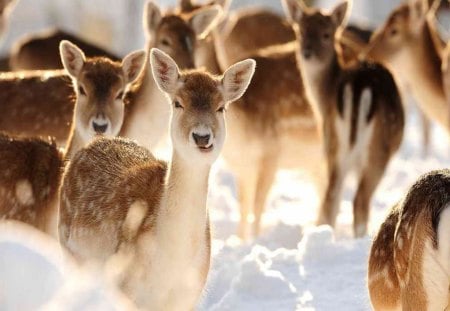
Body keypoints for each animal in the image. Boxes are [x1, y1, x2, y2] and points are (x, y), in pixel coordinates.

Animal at [58, 47, 255, 310]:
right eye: (178, 103)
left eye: (221, 107)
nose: (202, 136)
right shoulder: (127, 288)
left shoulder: (189, 295)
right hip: (67, 248)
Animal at [282, 0, 404, 238]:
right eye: (300, 31)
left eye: (326, 34)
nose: (307, 52)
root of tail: (357, 87)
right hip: (377, 150)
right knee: (359, 201)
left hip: (334, 145)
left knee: (331, 196)